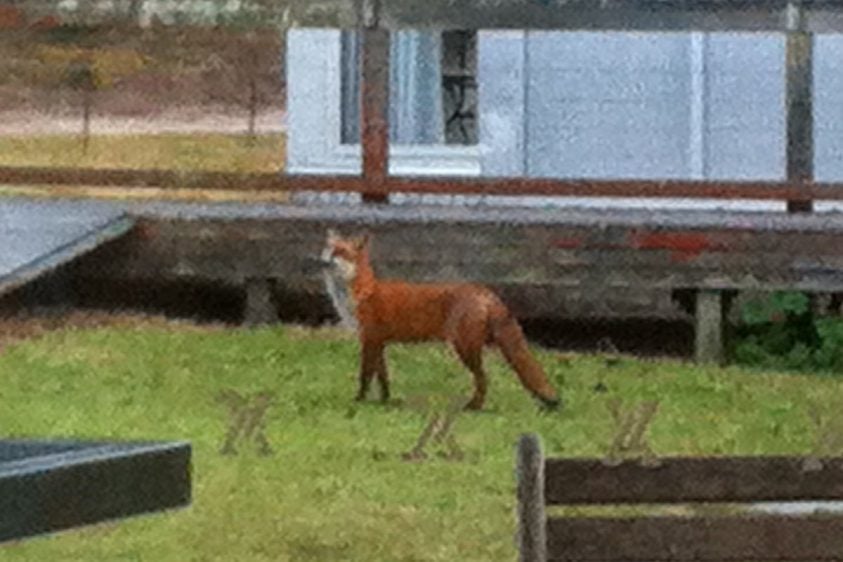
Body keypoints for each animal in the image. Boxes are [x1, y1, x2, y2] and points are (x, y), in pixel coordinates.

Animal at [322, 230, 560, 410]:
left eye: (340, 252)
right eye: (327, 249)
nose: (323, 261)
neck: (363, 292)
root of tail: (483, 290)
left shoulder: (369, 340)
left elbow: (365, 375)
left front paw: (359, 400)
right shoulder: (378, 342)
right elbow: (383, 377)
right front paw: (385, 401)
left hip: (464, 348)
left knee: (484, 378)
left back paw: (474, 407)